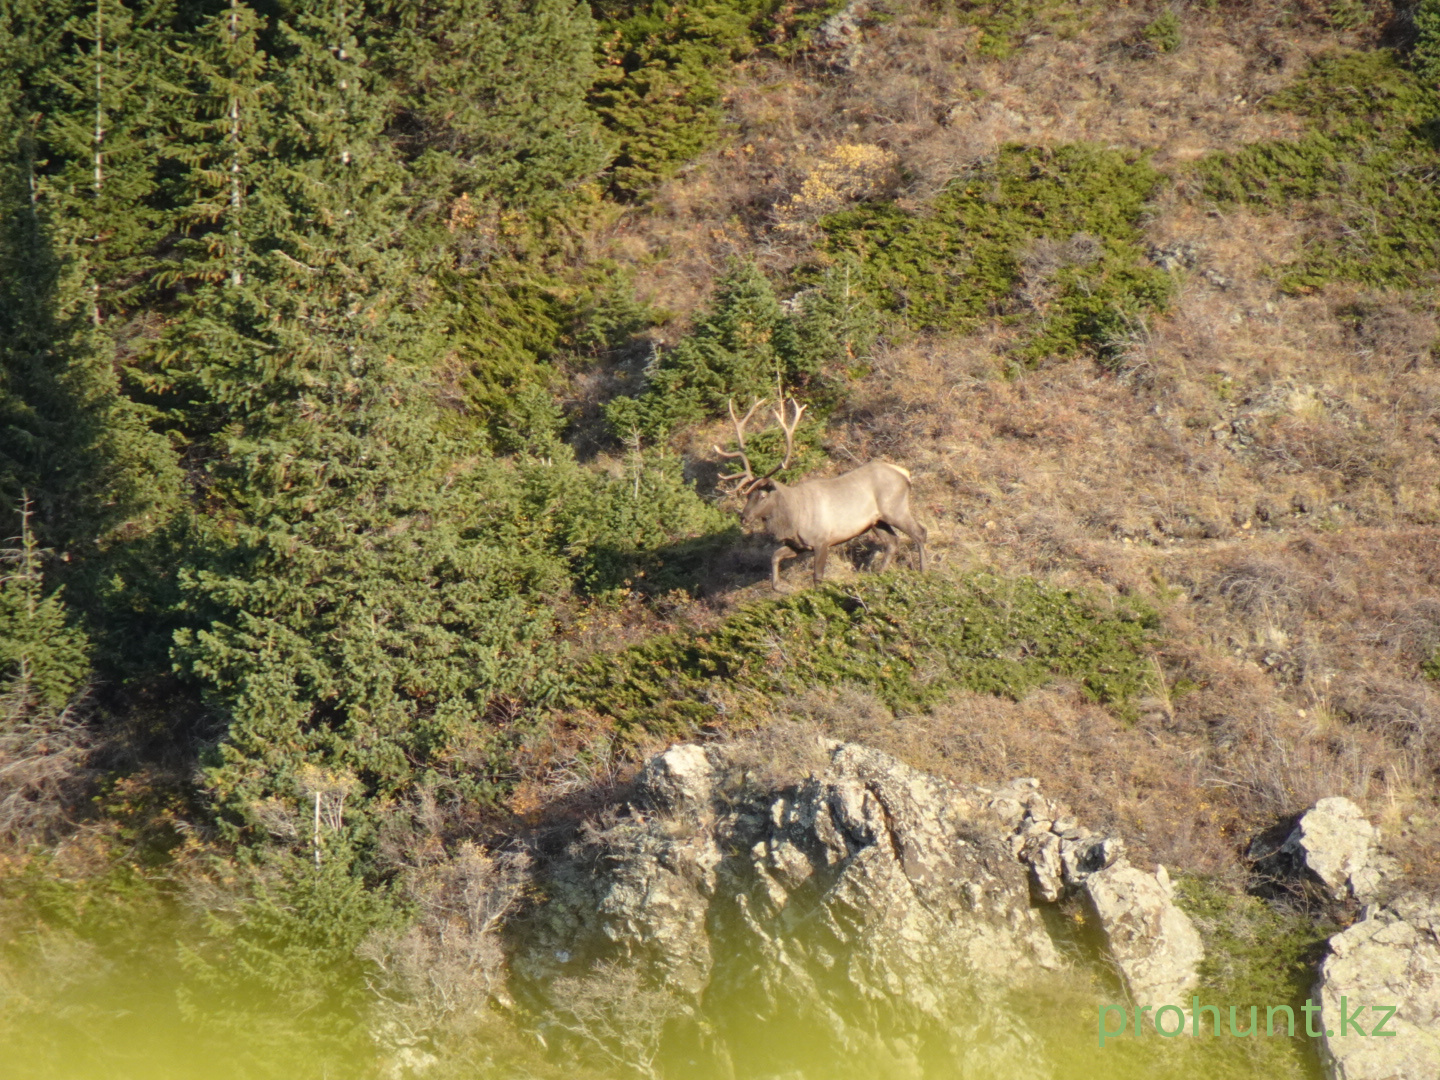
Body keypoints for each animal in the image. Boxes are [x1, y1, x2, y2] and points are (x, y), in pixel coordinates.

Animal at [714, 394, 927, 587]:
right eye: (748, 494)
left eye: (763, 495)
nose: (744, 517)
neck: (793, 518)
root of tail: (904, 473)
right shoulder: (799, 545)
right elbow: (774, 557)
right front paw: (782, 587)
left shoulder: (822, 540)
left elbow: (817, 578)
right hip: (876, 521)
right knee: (893, 542)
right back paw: (879, 575)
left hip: (895, 508)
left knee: (919, 532)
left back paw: (923, 571)